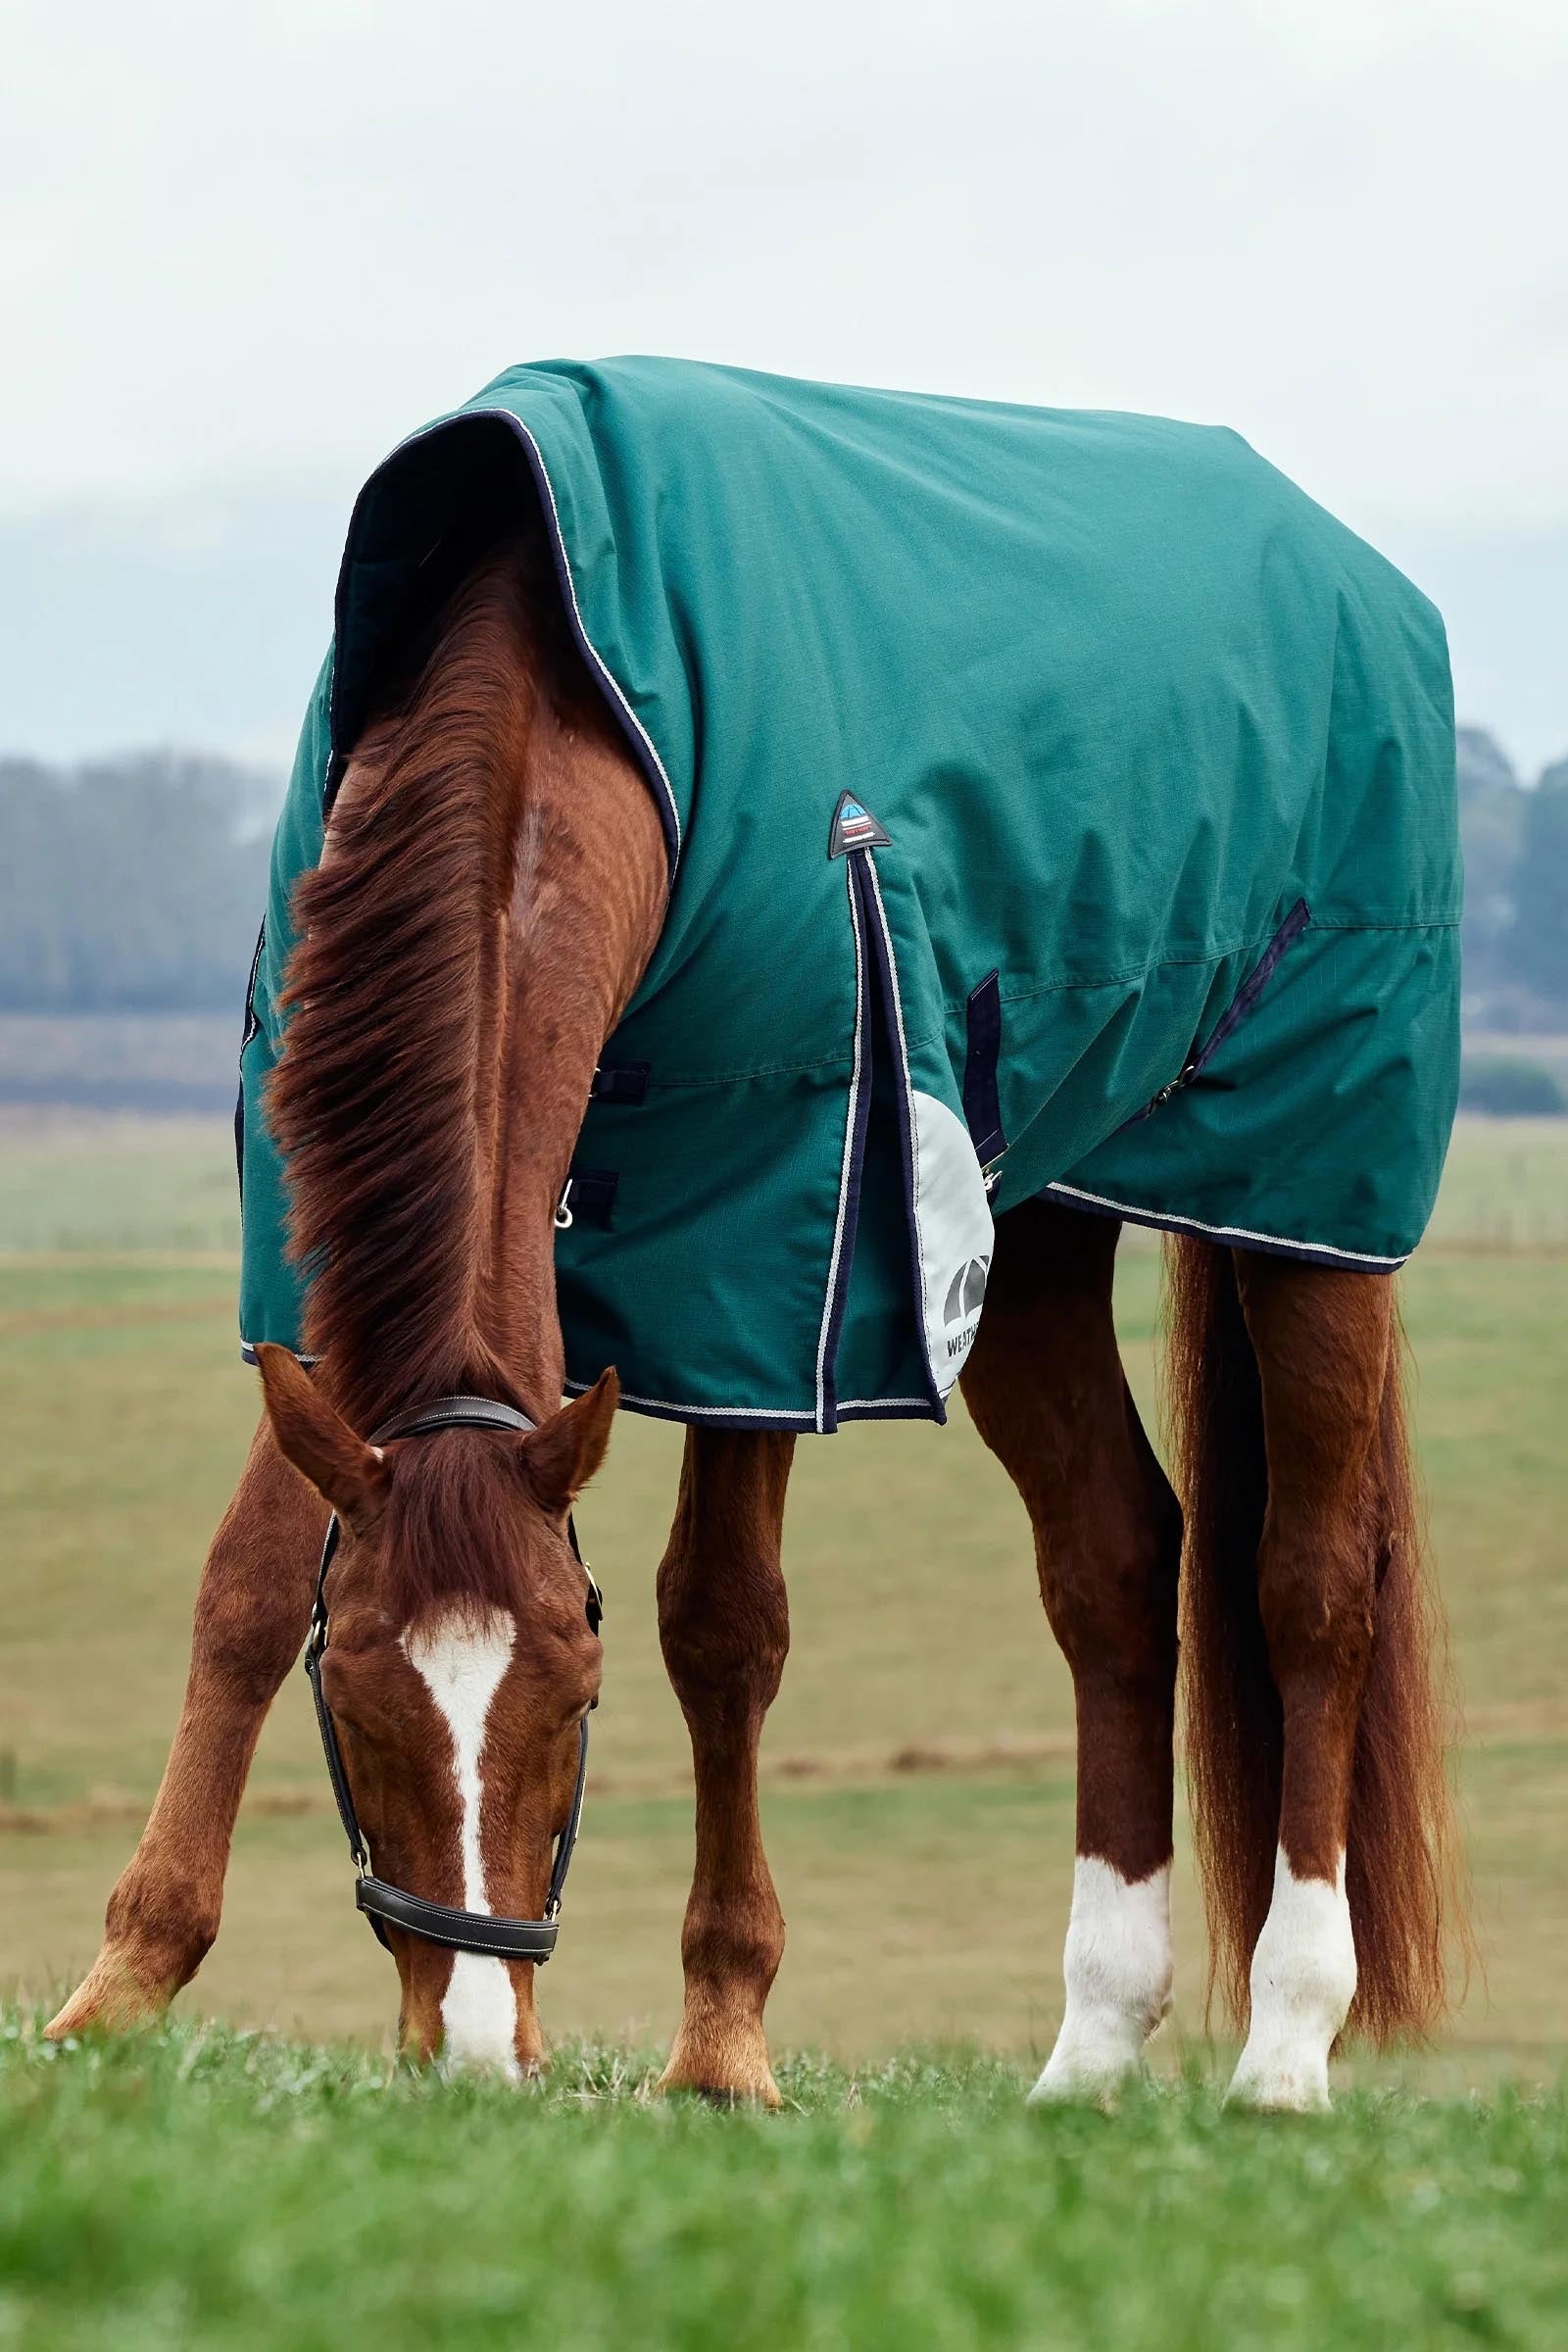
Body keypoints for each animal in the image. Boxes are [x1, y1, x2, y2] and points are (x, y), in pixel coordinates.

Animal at [48, 375, 1463, 2108]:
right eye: (358, 1689)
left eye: (577, 1698)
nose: (479, 2051)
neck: (566, 701)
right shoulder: (313, 1263)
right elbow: (246, 1583)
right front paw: (122, 1988)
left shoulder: (765, 1250)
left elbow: (723, 1620)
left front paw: (722, 2041)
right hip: (1022, 1235)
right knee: (1119, 1564)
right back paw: (1088, 2053)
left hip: (1313, 1201)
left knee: (1312, 1580)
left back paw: (1284, 2045)